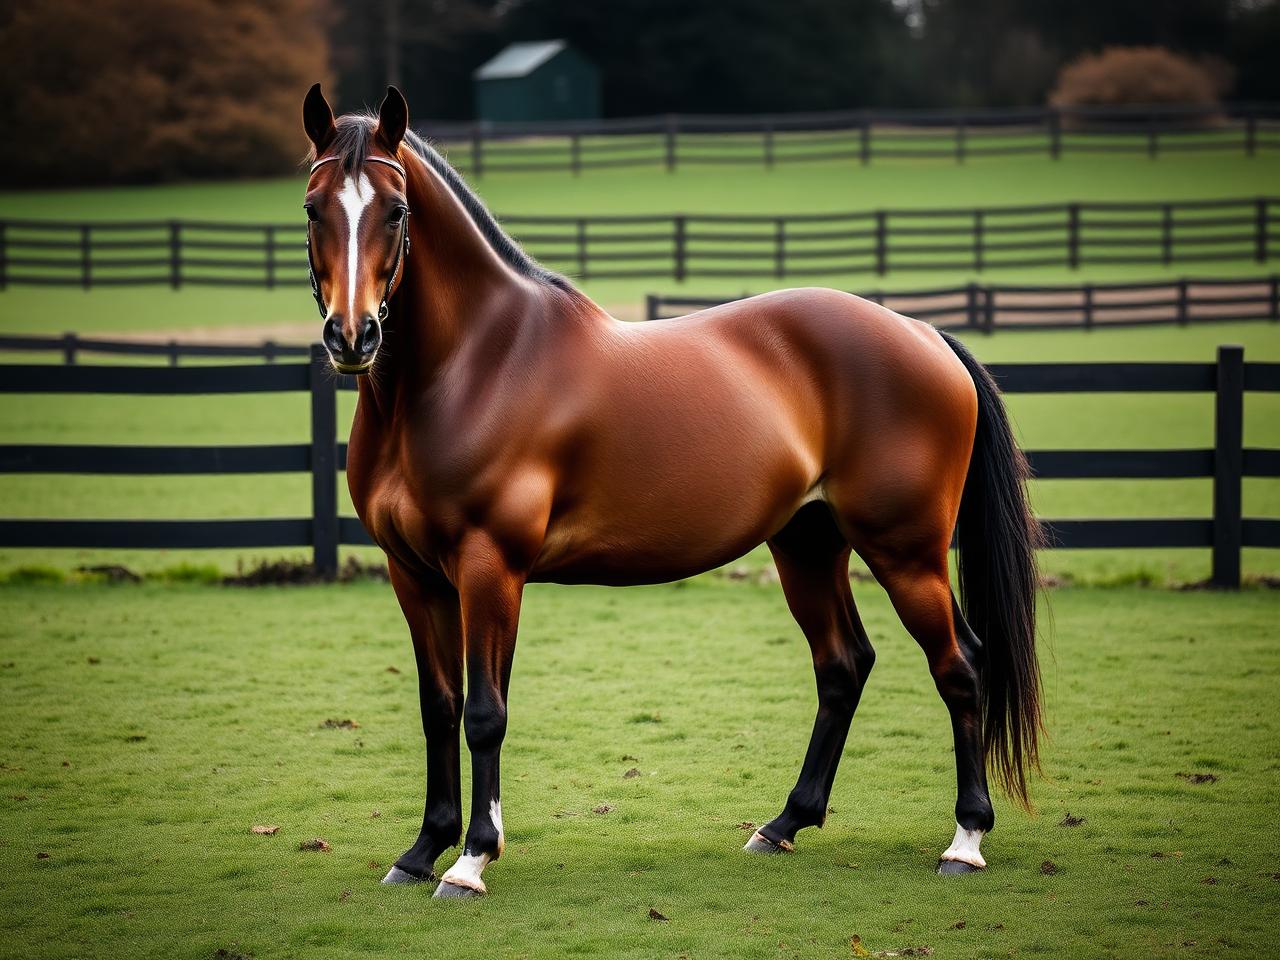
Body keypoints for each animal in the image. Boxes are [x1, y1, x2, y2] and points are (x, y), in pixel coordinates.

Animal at [300, 84, 1043, 899]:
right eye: (313, 207)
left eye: (396, 210)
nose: (352, 337)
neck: (475, 365)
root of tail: (925, 334)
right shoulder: (414, 573)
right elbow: (438, 708)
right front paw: (422, 849)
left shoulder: (488, 567)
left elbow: (484, 713)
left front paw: (471, 859)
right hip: (807, 544)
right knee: (843, 665)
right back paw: (783, 824)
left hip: (905, 552)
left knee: (961, 666)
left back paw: (965, 840)